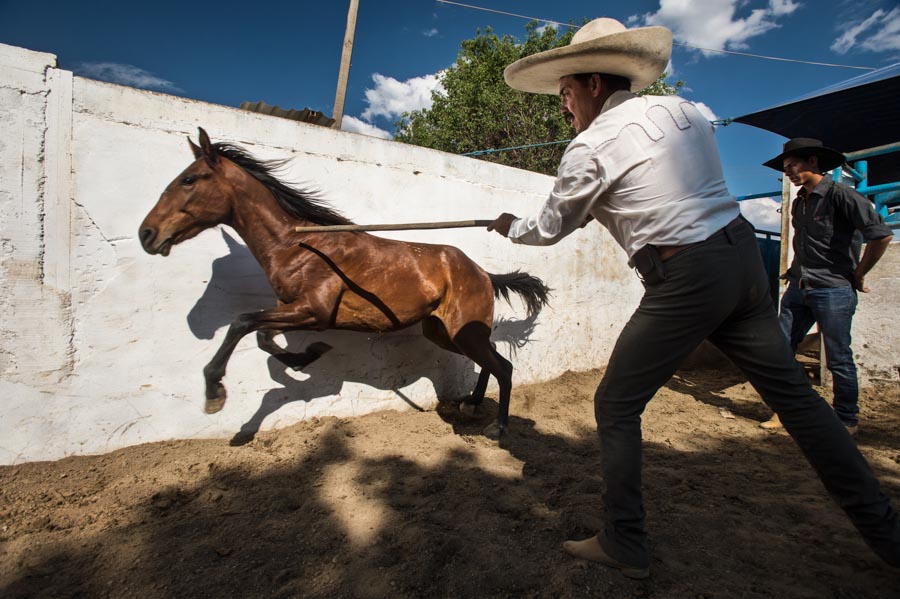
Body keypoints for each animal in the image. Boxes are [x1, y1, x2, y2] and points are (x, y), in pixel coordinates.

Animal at [140, 130, 548, 440]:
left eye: (188, 179)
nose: (147, 234)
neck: (297, 244)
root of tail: (483, 273)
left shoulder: (314, 312)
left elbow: (242, 323)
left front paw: (214, 391)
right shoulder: (289, 308)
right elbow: (264, 339)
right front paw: (306, 356)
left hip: (463, 332)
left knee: (503, 367)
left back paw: (498, 427)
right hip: (445, 332)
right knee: (489, 362)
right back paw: (472, 403)